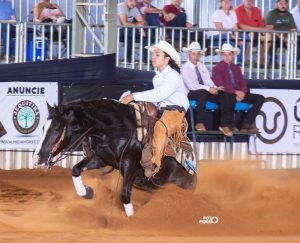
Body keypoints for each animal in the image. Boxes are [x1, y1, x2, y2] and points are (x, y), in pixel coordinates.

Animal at [32, 98, 197, 216]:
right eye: (43, 127)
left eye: (57, 127)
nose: (37, 158)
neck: (115, 129)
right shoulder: (100, 159)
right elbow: (75, 169)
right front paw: (86, 192)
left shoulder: (130, 167)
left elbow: (125, 195)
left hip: (183, 185)